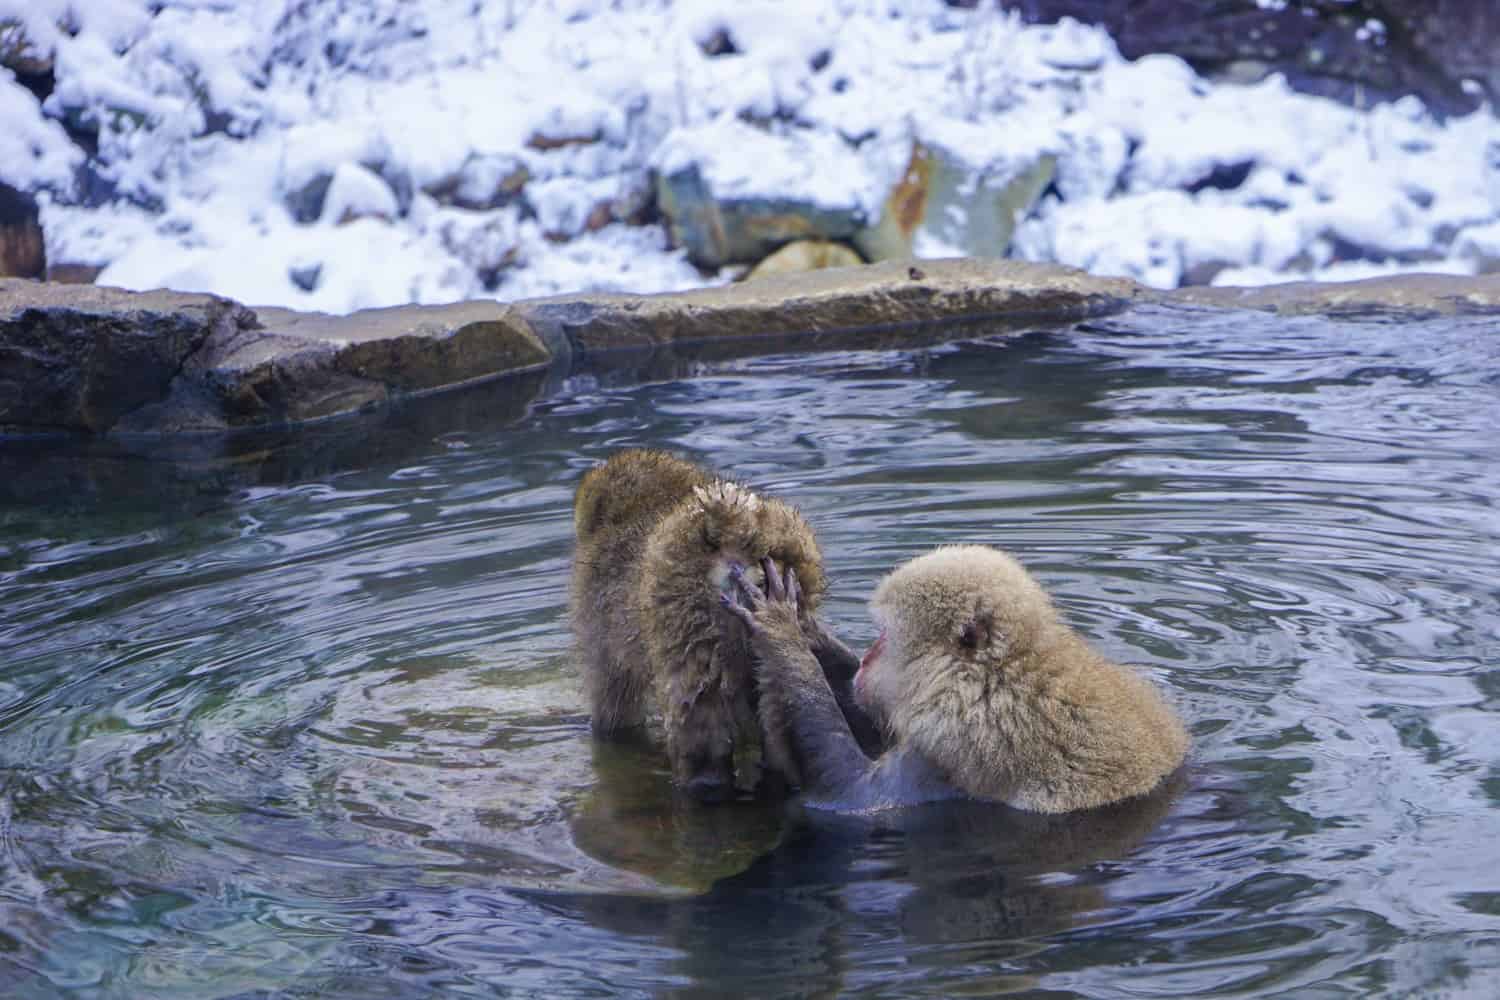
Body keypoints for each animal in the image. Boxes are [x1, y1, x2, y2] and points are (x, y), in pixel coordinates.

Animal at [573, 449, 876, 803]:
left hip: (688, 620)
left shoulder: (599, 620)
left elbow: (614, 707)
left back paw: (700, 782)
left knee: (698, 719)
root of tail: (737, 528)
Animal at [720, 548, 1188, 815]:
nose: (867, 659)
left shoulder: (952, 739)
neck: (995, 677)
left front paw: (781, 632)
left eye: (884, 636)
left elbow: (854, 794)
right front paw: (808, 630)